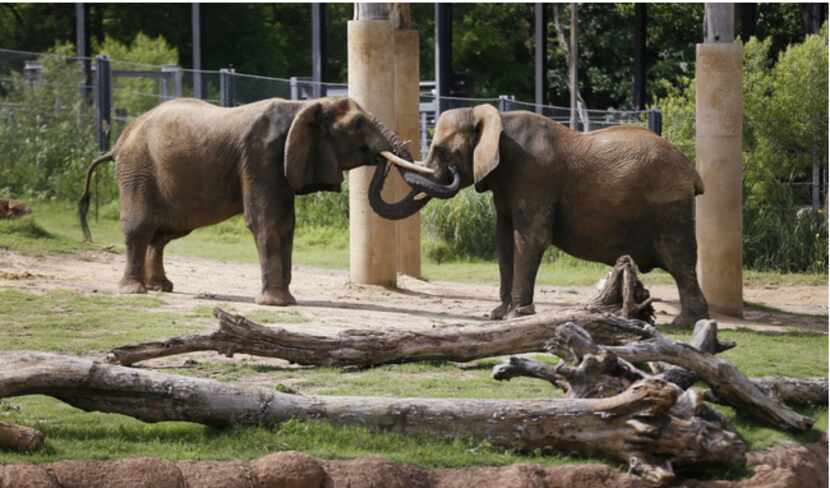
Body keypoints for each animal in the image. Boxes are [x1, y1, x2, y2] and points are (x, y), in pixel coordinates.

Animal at [79, 96, 422, 304]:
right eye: (358, 125)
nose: (382, 161)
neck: (302, 106)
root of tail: (118, 142)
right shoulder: (261, 156)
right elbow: (266, 222)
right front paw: (276, 304)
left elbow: (286, 224)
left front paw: (285, 301)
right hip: (136, 170)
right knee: (140, 228)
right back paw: (134, 291)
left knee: (164, 232)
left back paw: (161, 287)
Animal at [374, 104, 712, 326]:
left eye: (443, 152)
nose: (382, 160)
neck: (497, 119)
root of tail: (692, 172)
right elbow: (503, 240)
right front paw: (499, 315)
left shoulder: (533, 173)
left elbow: (530, 238)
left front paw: (518, 315)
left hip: (670, 207)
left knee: (679, 259)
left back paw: (685, 323)